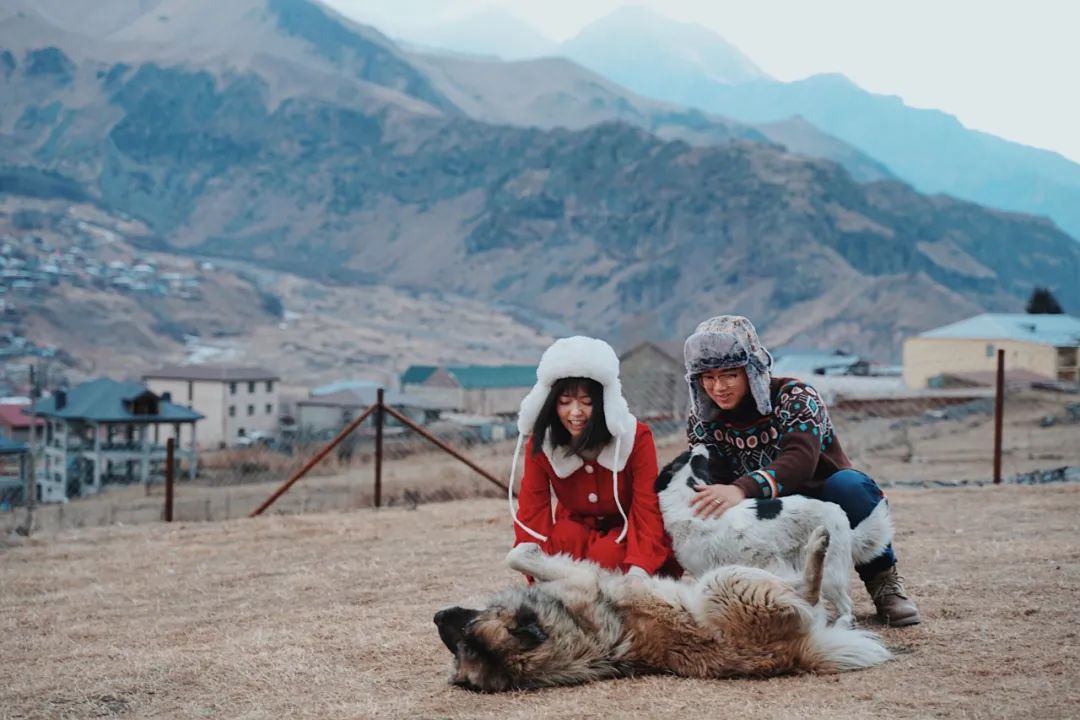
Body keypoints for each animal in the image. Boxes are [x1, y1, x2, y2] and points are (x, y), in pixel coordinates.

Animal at [434, 528, 889, 690]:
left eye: (464, 638)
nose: (437, 616)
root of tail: (796, 654)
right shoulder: (584, 578)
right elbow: (521, 557)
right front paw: (529, 547)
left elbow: (517, 558)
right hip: (724, 582)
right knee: (807, 592)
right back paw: (817, 545)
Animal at [656, 442, 894, 626]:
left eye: (693, 456)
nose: (701, 444)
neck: (686, 494)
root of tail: (842, 520)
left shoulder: (703, 571)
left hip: (830, 575)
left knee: (846, 605)